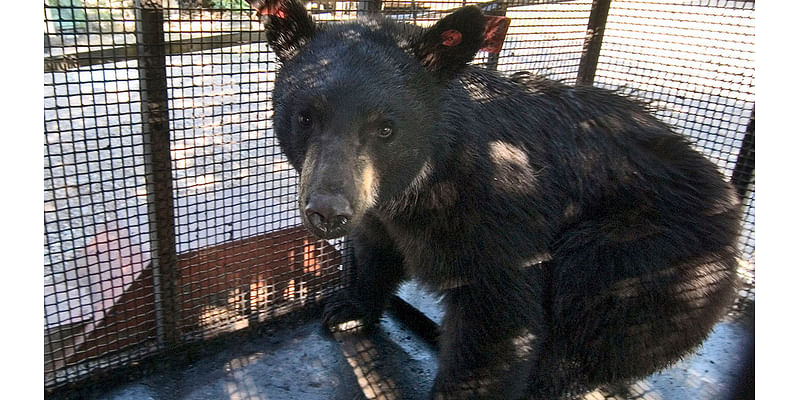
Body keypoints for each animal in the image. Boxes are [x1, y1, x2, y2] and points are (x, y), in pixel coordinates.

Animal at [252, 1, 744, 398]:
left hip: (659, 250)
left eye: (386, 128)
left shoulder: (499, 212)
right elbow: (375, 251)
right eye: (305, 117)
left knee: (600, 298)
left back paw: (550, 378)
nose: (328, 211)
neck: (423, 184)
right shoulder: (378, 205)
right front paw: (348, 309)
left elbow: (499, 315)